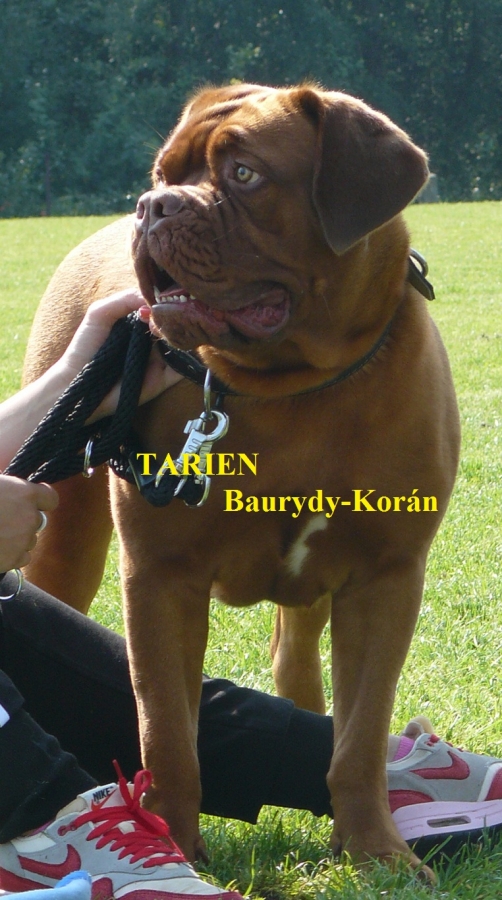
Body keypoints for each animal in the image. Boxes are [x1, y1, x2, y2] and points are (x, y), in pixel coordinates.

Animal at [23, 83, 460, 875]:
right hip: (65, 536)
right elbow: (165, 726)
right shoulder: (160, 575)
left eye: (246, 174)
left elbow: (361, 735)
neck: (297, 391)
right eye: (164, 172)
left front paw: (374, 848)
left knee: (299, 665)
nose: (153, 205)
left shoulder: (384, 577)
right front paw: (172, 838)